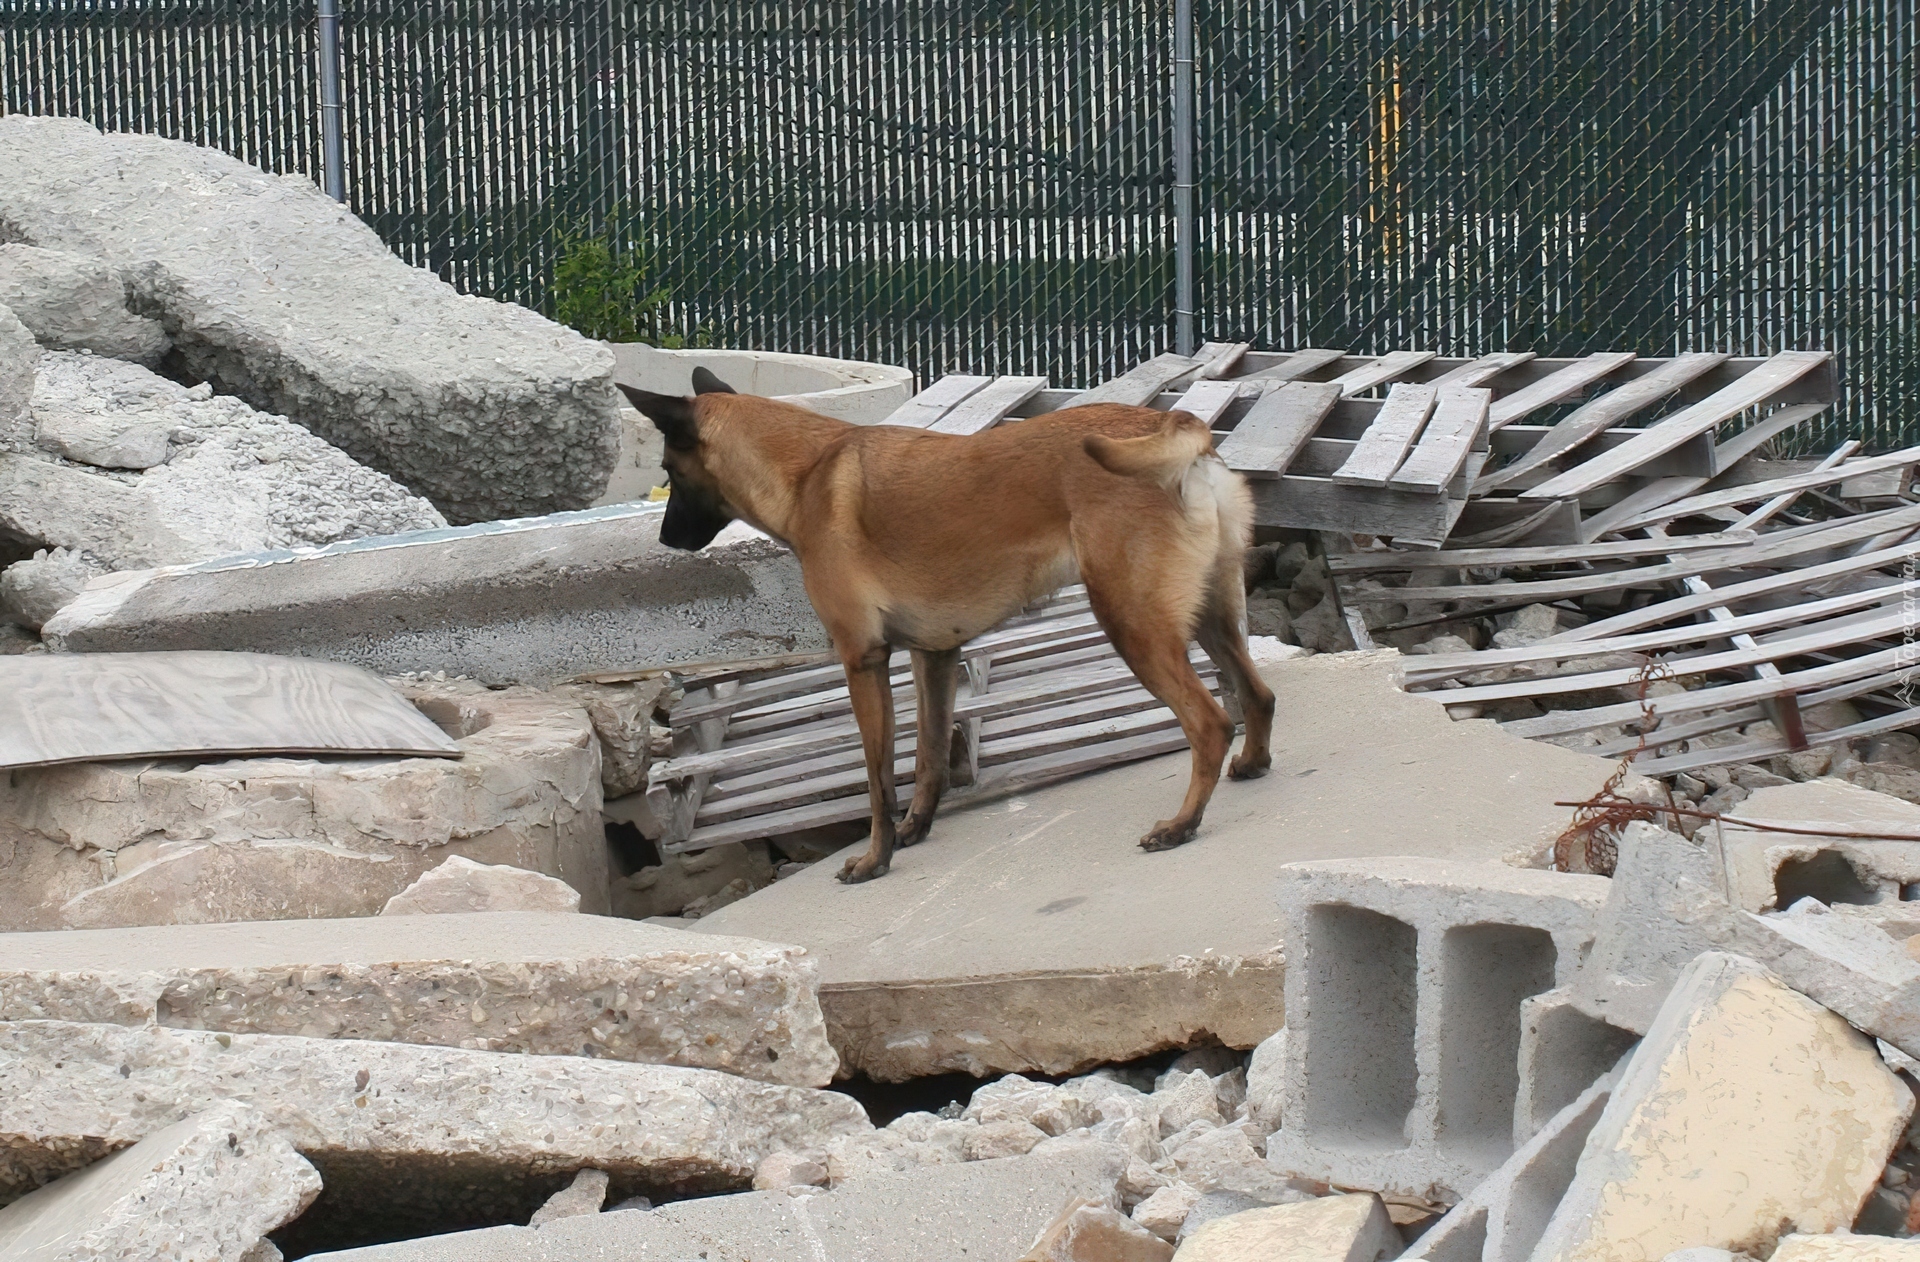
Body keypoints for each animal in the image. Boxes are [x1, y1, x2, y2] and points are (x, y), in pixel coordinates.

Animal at [622, 366, 1267, 887]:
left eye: (669, 471)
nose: (665, 538)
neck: (807, 471)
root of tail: (1174, 424)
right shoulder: (933, 656)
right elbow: (929, 755)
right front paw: (916, 827)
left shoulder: (863, 661)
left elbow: (879, 778)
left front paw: (875, 859)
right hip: (1212, 619)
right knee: (1258, 696)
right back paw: (1253, 765)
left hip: (1134, 626)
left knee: (1211, 723)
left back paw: (1182, 823)